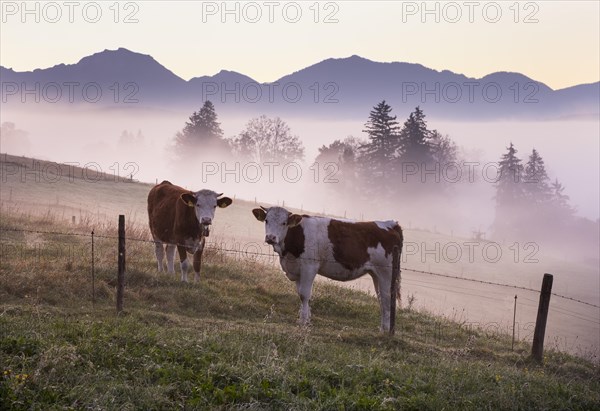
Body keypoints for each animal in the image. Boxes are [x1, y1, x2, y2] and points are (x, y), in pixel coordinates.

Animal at [253, 206, 404, 332]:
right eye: (266, 220)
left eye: (284, 223)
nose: (271, 237)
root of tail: (391, 224)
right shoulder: (297, 270)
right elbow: (300, 293)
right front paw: (305, 318)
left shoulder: (309, 267)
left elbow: (305, 294)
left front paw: (303, 322)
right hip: (376, 274)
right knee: (381, 299)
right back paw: (383, 329)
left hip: (386, 272)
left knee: (386, 298)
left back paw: (385, 331)